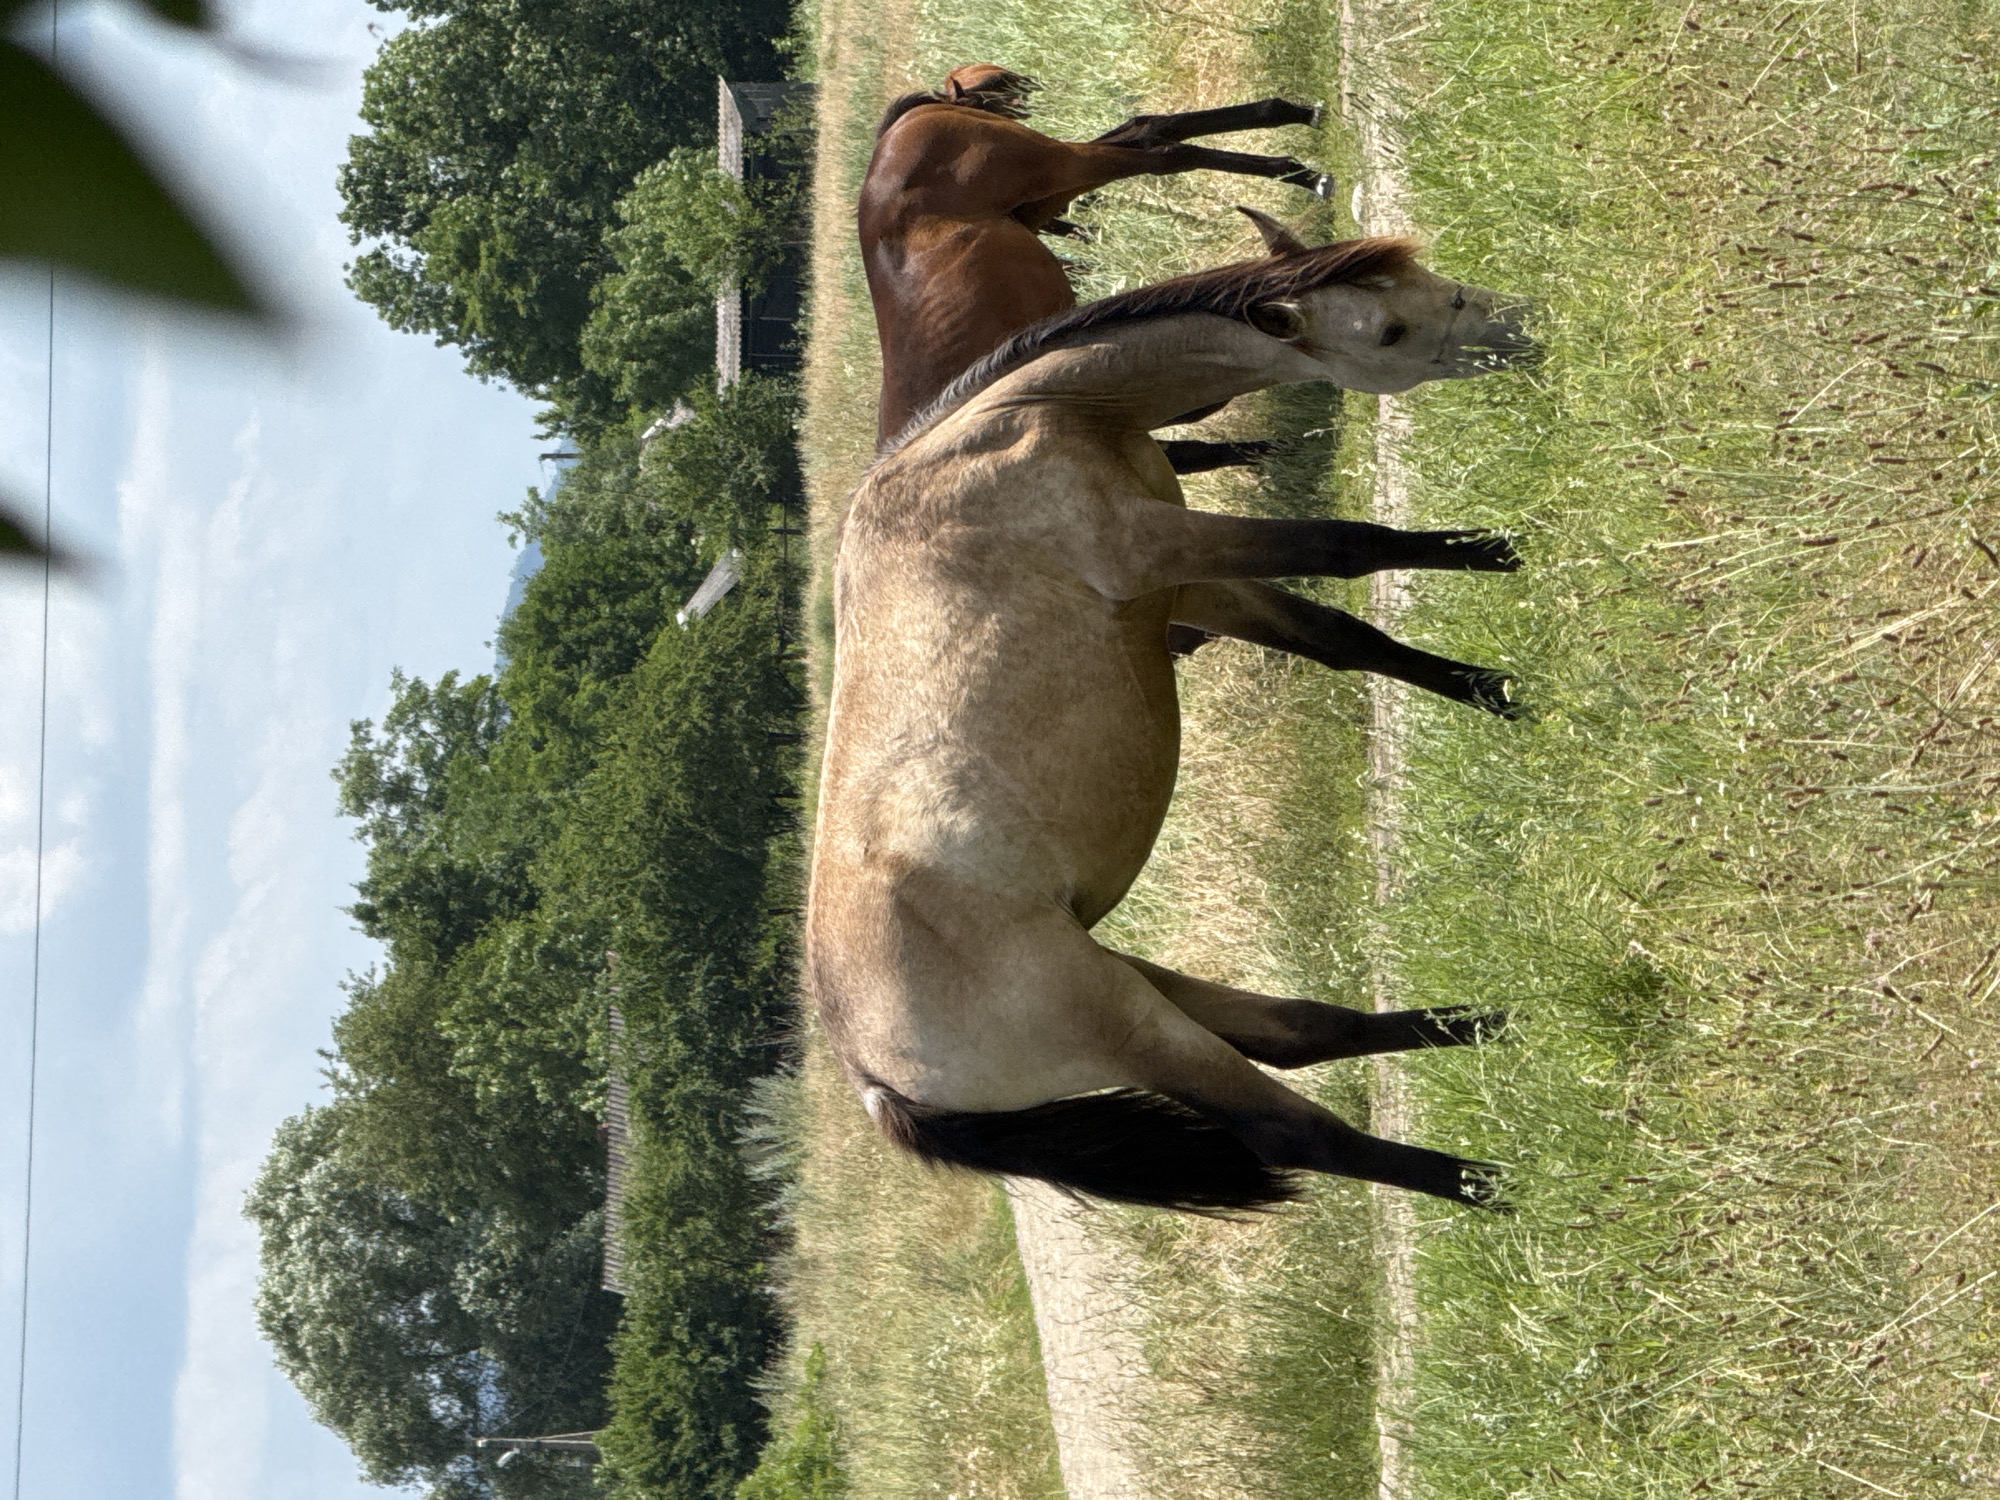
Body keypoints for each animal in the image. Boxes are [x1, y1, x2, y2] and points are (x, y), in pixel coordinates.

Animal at [807, 236, 1538, 1214]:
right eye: (1387, 329)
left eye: (1424, 282)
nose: (1519, 327)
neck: (1028, 424)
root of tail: (874, 1081)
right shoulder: (1162, 548)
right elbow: (1352, 543)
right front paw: (1506, 551)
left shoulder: (1187, 587)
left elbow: (1347, 639)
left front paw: (1505, 691)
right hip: (1129, 1025)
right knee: (1298, 1130)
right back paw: (1503, 1185)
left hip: (1133, 983)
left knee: (1302, 1031)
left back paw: (1498, 1023)